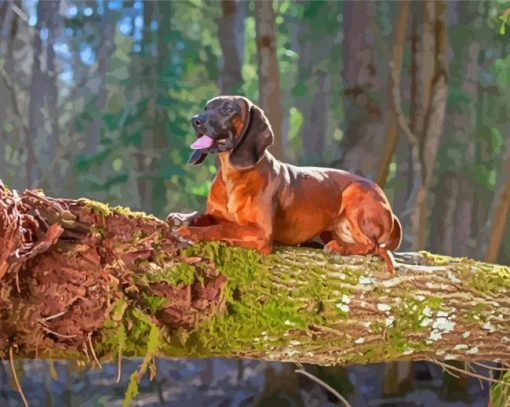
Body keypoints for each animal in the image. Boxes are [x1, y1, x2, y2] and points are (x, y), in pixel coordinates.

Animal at [167, 96, 402, 274]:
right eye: (206, 108)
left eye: (228, 108)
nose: (195, 120)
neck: (233, 175)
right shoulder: (217, 214)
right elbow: (205, 216)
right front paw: (182, 218)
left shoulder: (260, 233)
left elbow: (222, 227)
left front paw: (191, 232)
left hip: (355, 191)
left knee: (372, 245)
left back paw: (340, 247)